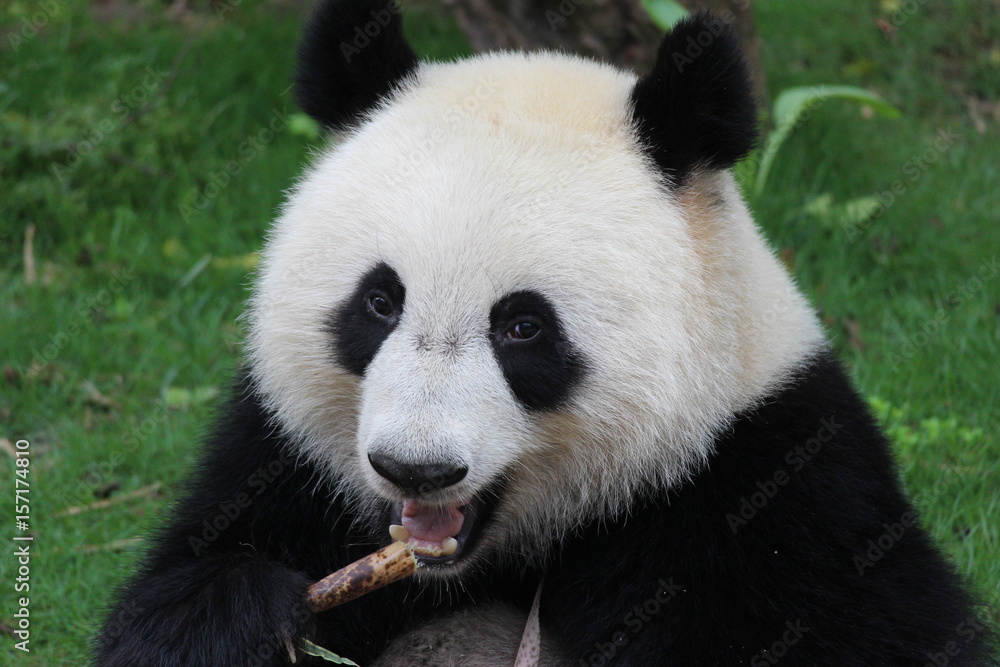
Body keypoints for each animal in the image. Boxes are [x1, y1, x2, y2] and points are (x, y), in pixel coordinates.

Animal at [96, 0, 989, 665]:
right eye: (379, 302)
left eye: (524, 326)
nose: (416, 468)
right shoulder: (282, 460)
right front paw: (233, 617)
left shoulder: (774, 483)